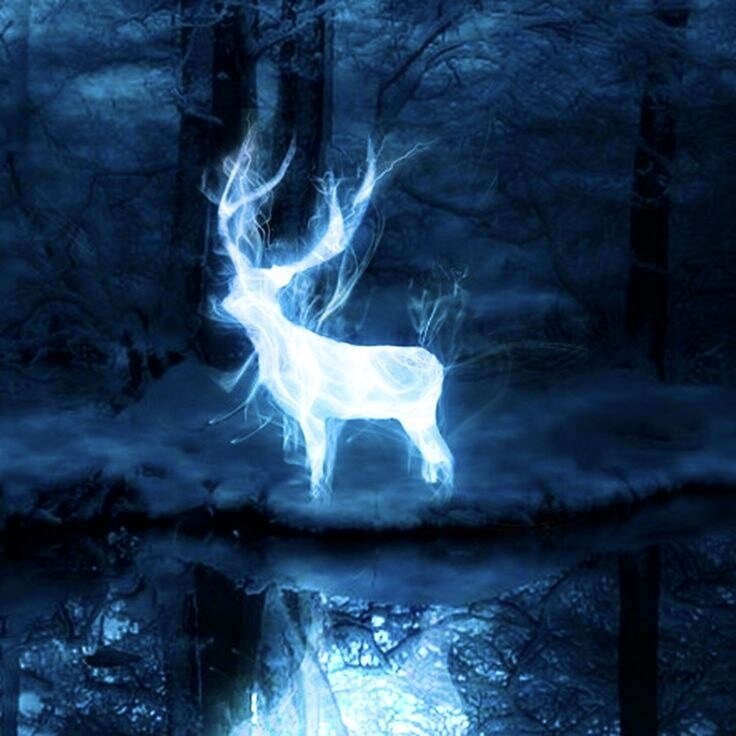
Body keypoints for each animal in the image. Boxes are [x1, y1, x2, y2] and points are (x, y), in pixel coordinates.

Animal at [217, 136, 453, 500]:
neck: (279, 355)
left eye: (261, 289)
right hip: (417, 417)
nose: (227, 302)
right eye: (236, 282)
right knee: (436, 455)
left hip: (418, 413)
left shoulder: (313, 410)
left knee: (445, 455)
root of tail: (439, 368)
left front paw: (317, 498)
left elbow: (318, 464)